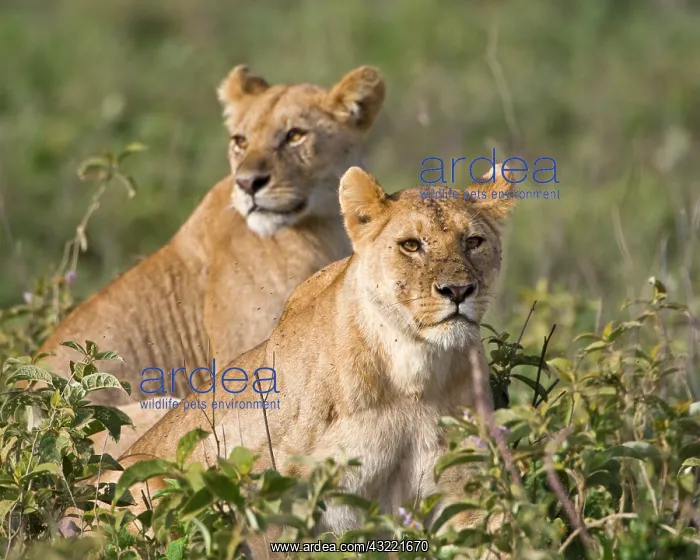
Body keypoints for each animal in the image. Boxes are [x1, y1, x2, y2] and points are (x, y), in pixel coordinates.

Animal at [98, 164, 519, 555]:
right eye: (411, 245)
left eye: (474, 241)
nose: (459, 291)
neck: (413, 370)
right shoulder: (268, 496)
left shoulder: (463, 491)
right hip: (140, 476)